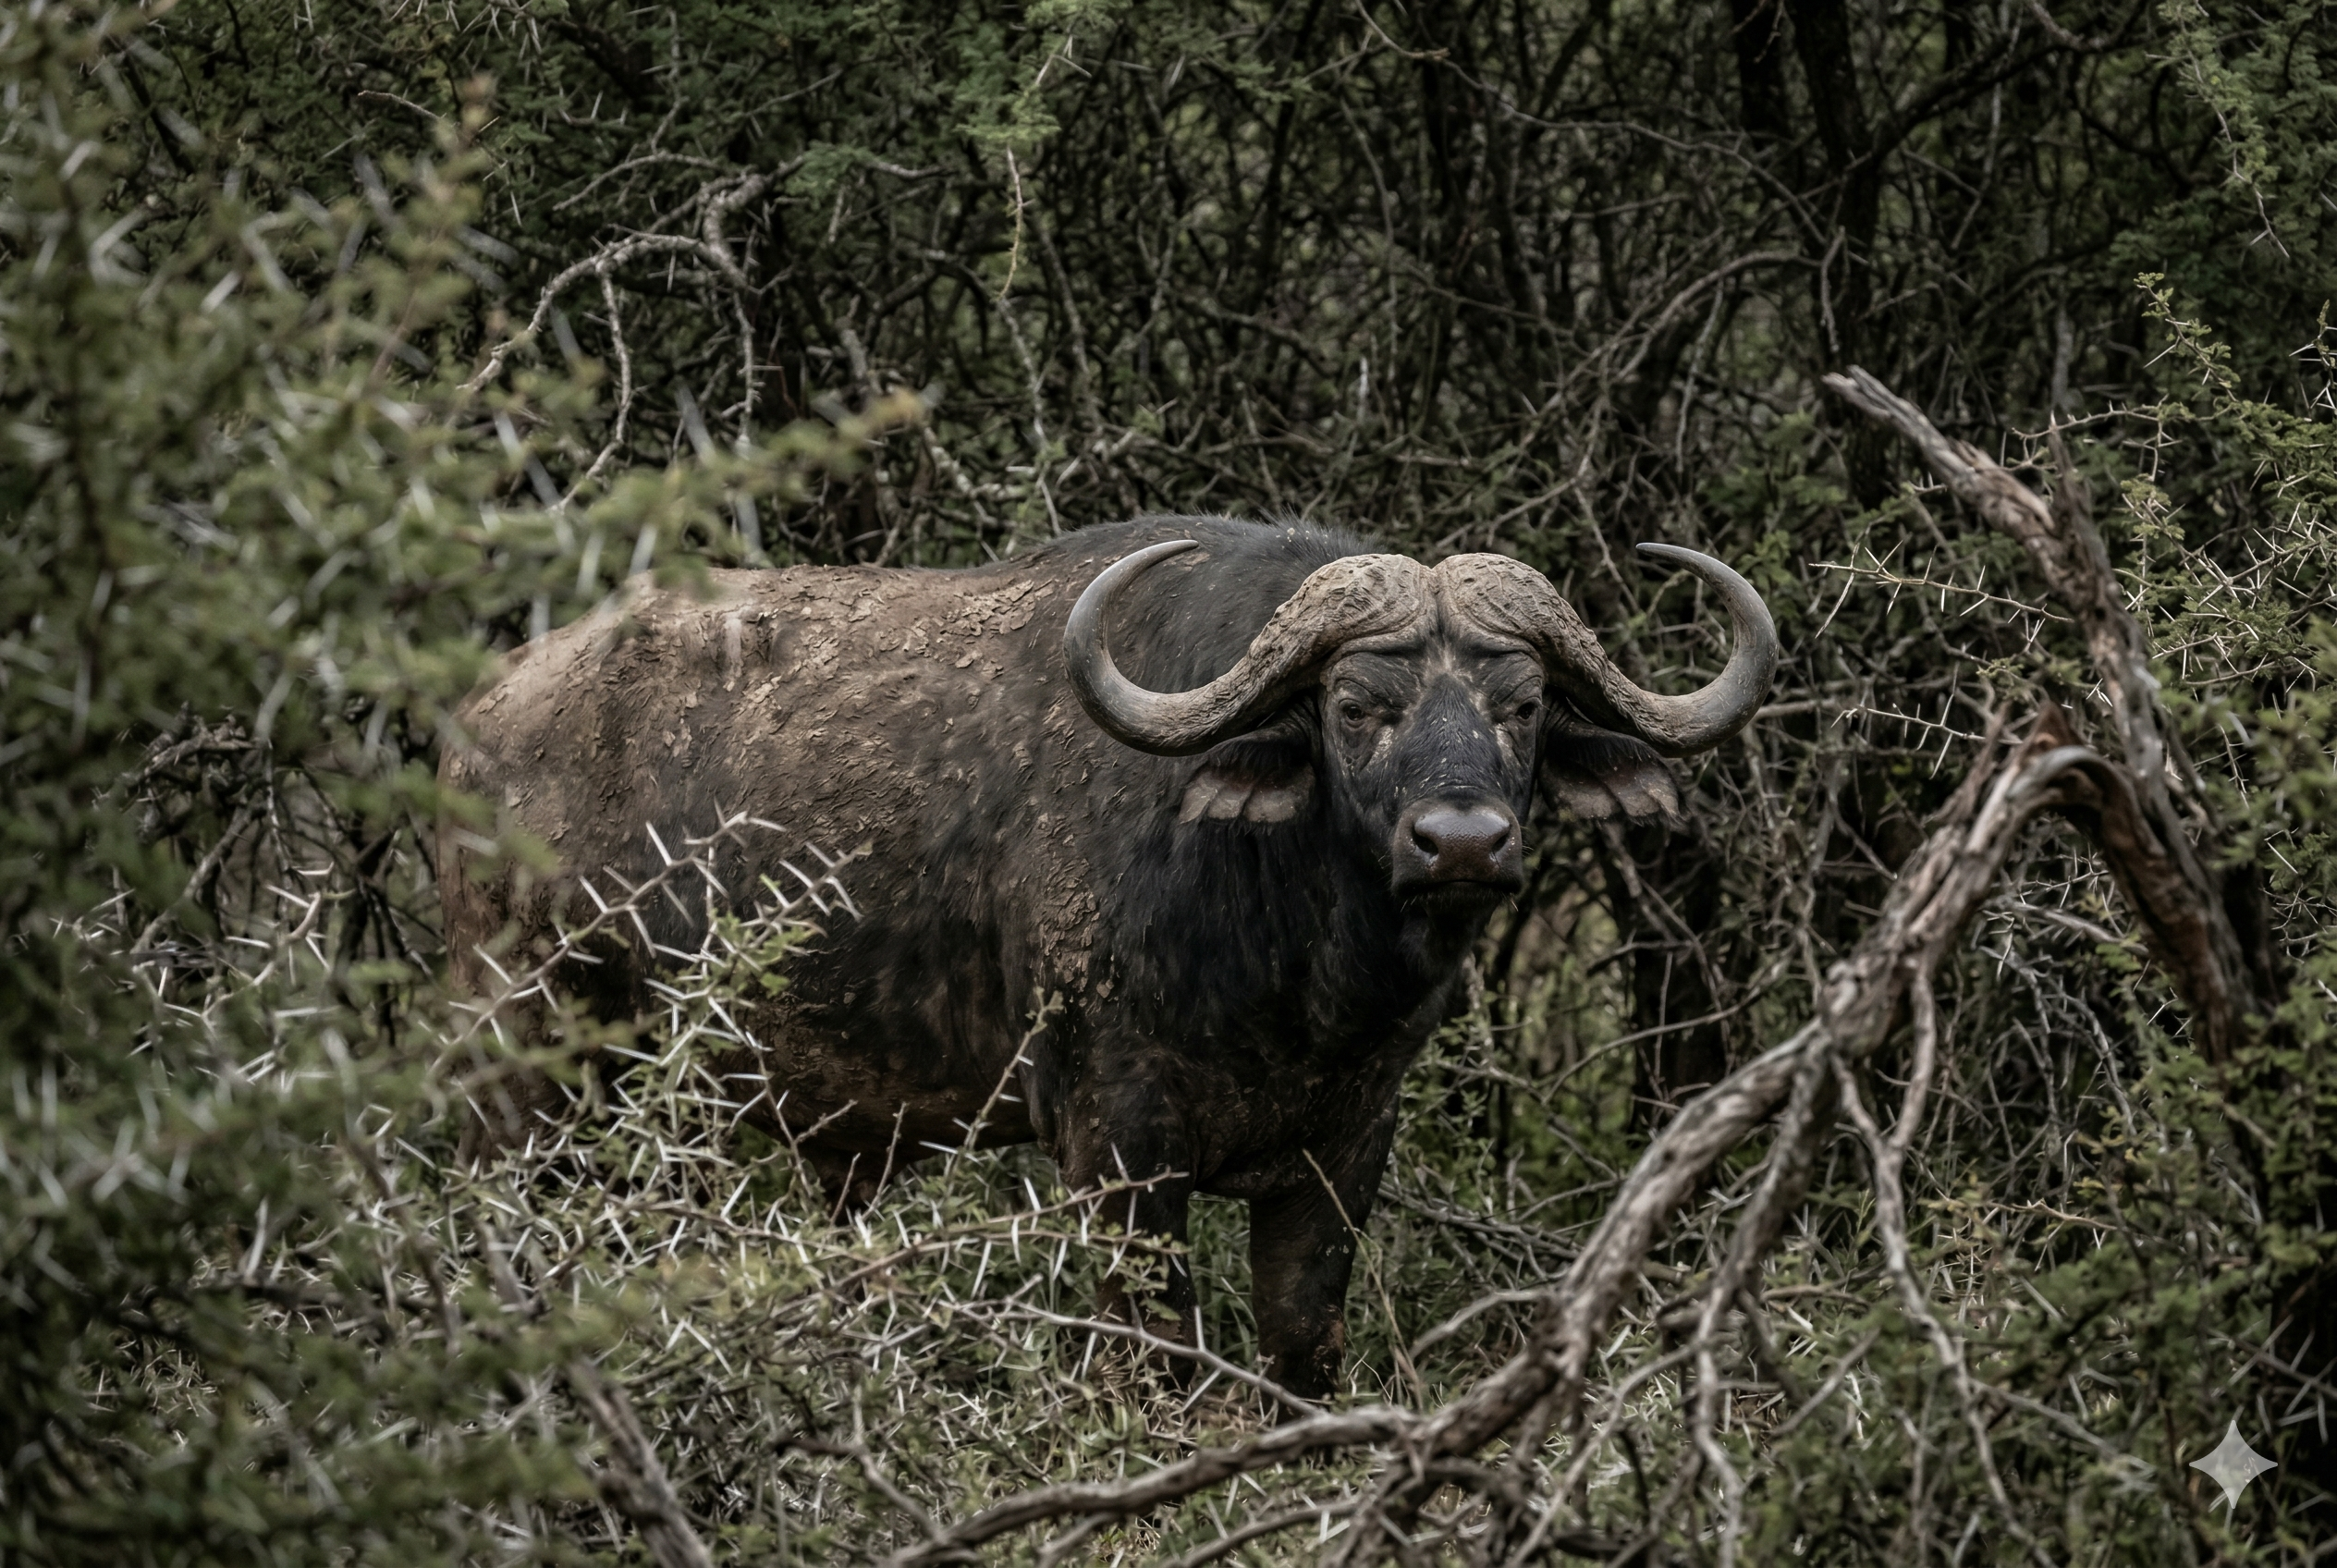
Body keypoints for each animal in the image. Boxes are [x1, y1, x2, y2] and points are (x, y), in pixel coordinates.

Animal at [440, 515, 1776, 1397]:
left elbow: (1302, 1343)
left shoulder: (1347, 1146)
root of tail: (479, 715)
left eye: (1526, 706)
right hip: (528, 1065)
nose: (1461, 842)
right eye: (1355, 706)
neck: (1297, 964)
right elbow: (1158, 1354)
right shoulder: (1117, 1142)